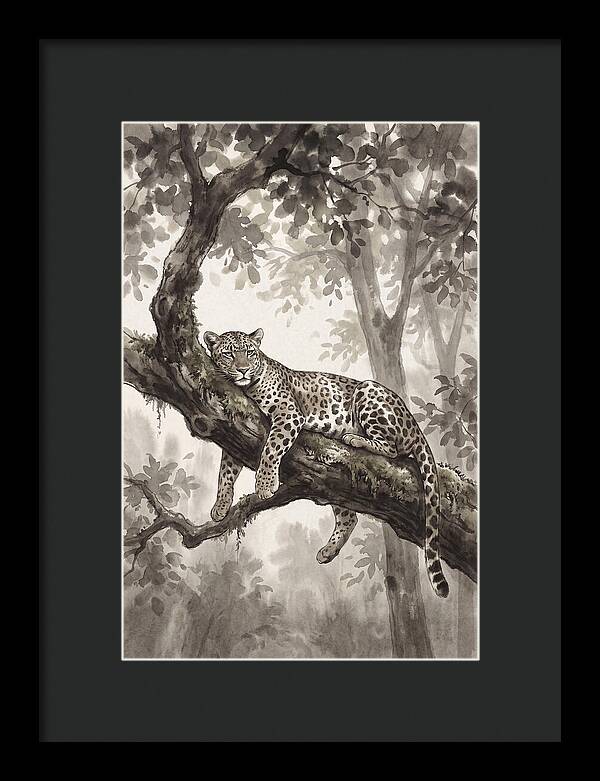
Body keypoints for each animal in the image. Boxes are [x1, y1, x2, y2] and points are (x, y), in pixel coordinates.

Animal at [204, 328, 449, 598]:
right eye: (228, 354)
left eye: (249, 352)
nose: (244, 370)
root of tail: (414, 424)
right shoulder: (236, 426)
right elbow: (226, 471)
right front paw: (220, 506)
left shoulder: (288, 413)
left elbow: (271, 449)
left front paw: (266, 484)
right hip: (335, 485)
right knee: (348, 517)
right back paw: (328, 551)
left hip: (368, 391)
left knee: (391, 449)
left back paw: (354, 438)